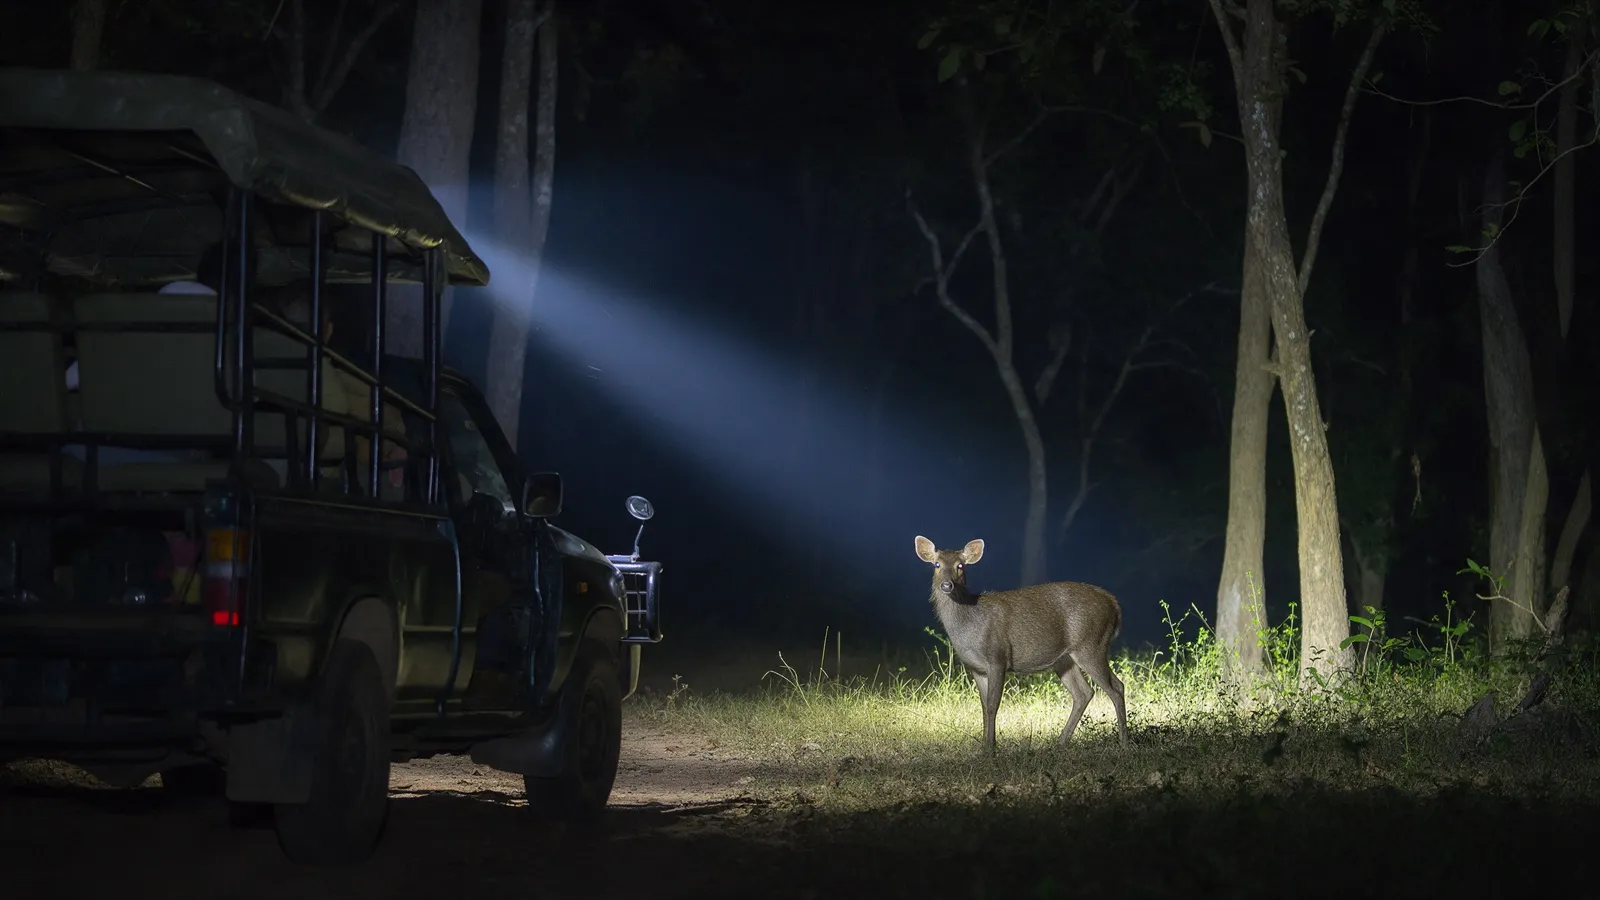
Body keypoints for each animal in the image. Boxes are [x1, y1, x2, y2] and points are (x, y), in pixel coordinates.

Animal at [914, 535, 1129, 754]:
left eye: (960, 565)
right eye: (937, 564)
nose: (947, 585)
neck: (969, 626)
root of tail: (1113, 604)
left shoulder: (997, 657)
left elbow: (992, 704)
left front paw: (991, 749)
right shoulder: (976, 668)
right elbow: (983, 706)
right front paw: (984, 747)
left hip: (1091, 645)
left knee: (1116, 687)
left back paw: (1124, 743)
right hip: (1066, 659)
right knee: (1084, 693)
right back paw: (1060, 743)